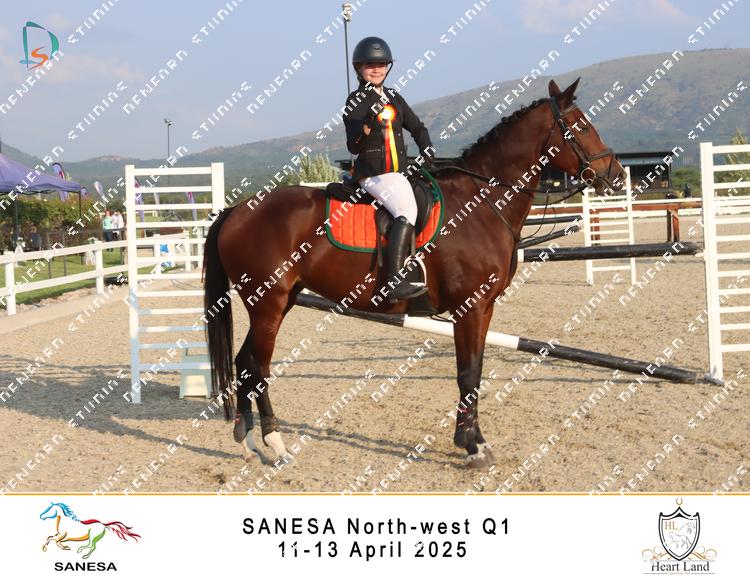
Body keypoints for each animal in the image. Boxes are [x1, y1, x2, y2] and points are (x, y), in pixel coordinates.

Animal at [203, 78, 626, 468]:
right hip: (268, 303)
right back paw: (275, 442)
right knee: (257, 366)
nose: (618, 175)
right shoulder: (469, 309)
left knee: (245, 364)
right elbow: (467, 373)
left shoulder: (485, 308)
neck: (483, 202)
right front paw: (473, 447)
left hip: (280, 301)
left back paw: (249, 442)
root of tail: (238, 209)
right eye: (582, 125)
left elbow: (476, 372)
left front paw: (473, 440)